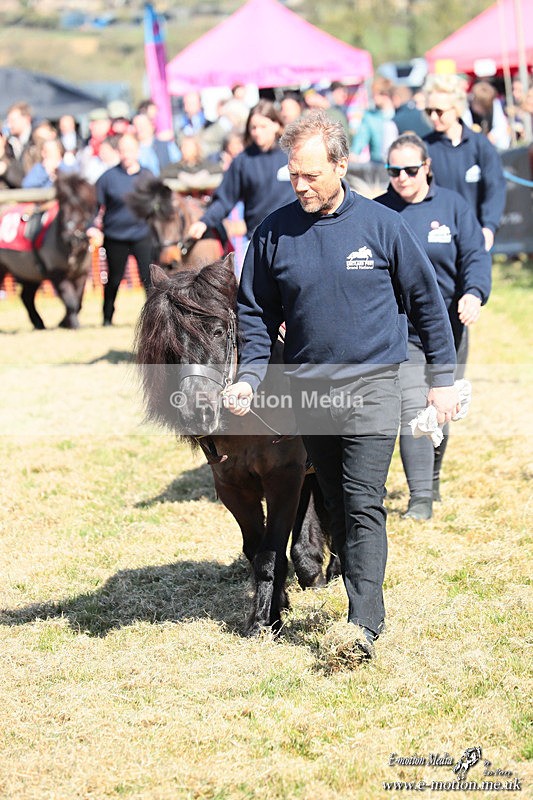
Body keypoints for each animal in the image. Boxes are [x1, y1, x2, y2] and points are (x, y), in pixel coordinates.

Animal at [0, 173, 97, 329]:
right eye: (62, 207)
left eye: (83, 207)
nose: (69, 236)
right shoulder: (57, 274)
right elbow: (71, 302)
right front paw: (73, 324)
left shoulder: (81, 274)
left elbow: (78, 301)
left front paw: (65, 322)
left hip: (28, 272)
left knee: (26, 297)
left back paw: (38, 323)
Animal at [135, 254, 339, 636]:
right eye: (169, 344)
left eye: (218, 331)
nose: (196, 409)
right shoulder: (232, 486)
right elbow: (254, 549)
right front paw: (276, 606)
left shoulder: (282, 477)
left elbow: (269, 553)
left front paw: (263, 622)